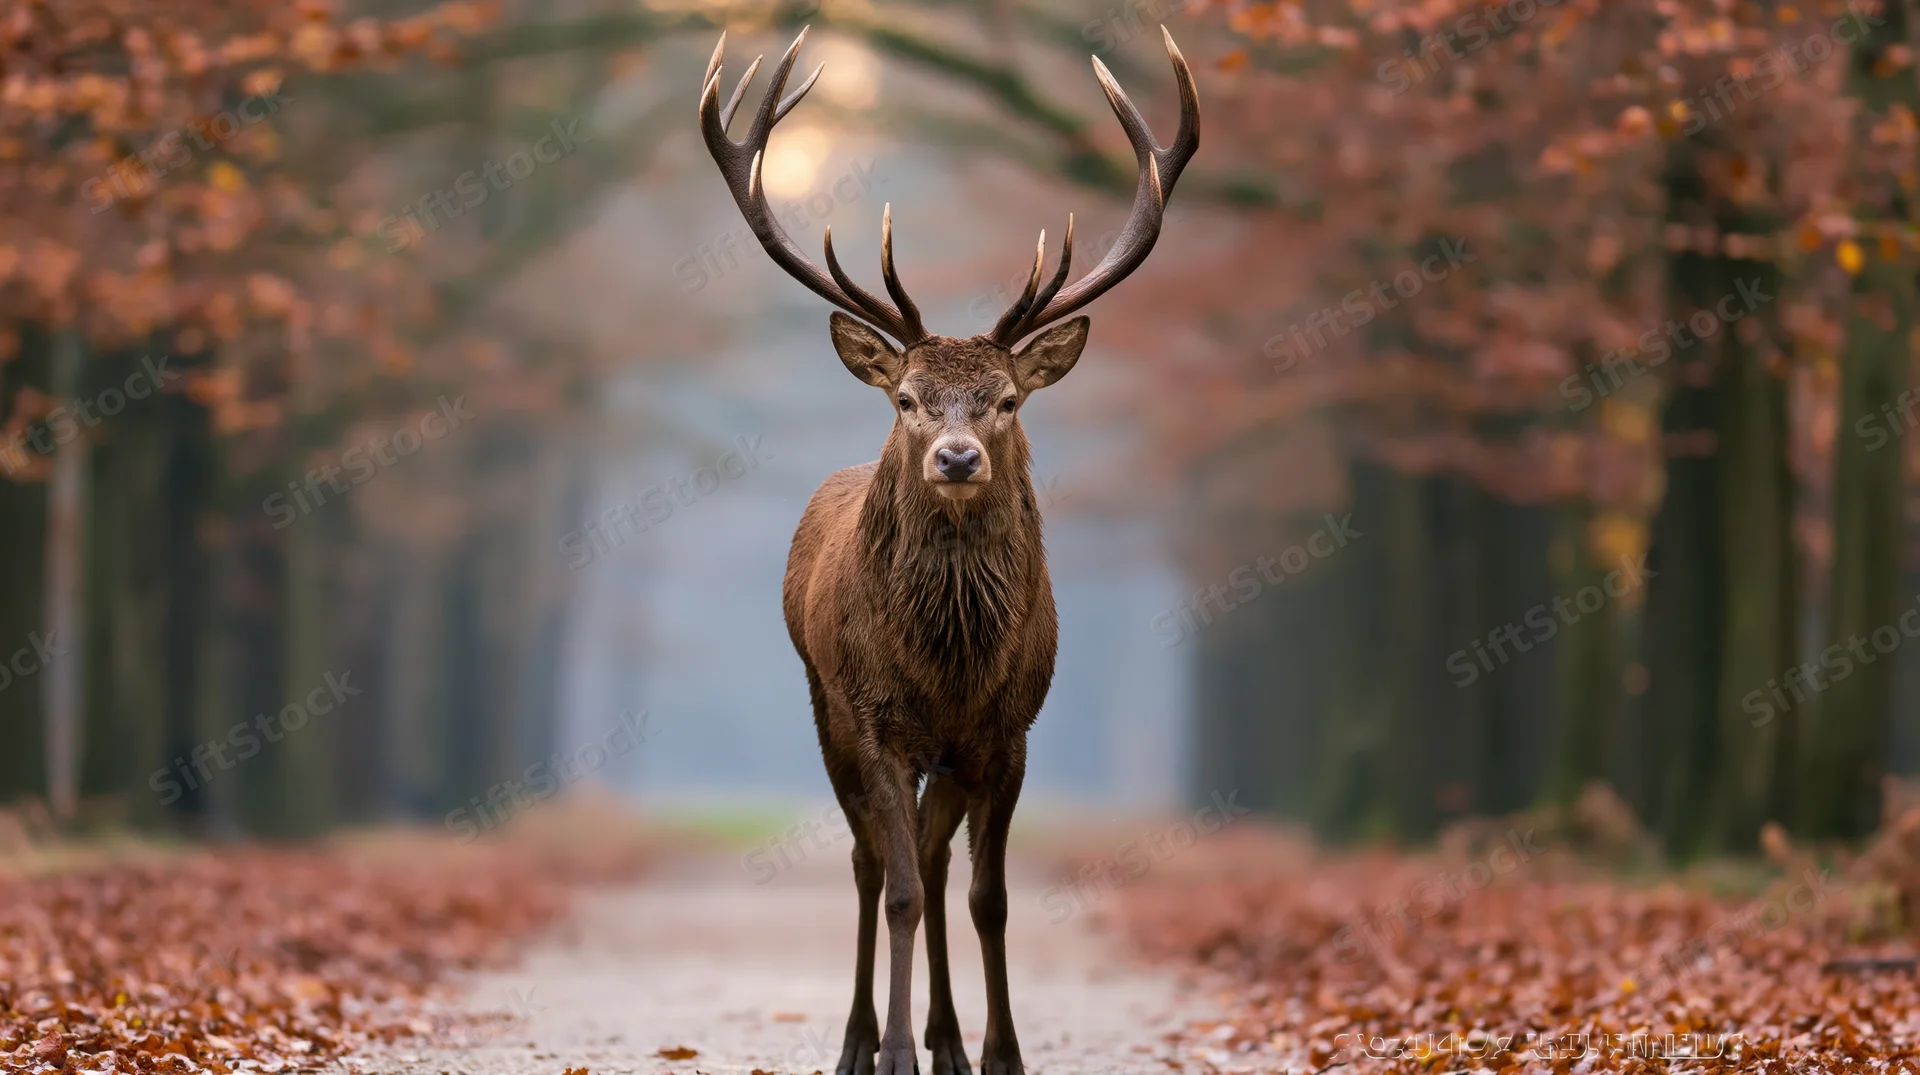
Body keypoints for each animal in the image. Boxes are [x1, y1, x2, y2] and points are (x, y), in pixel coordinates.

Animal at [699, 24, 1198, 1075]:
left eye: (1006, 398)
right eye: (907, 398)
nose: (958, 455)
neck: (951, 662)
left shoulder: (1008, 731)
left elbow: (985, 896)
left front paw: (998, 1051)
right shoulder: (878, 719)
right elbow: (895, 889)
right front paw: (890, 1051)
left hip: (948, 755)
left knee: (929, 859)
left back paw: (948, 1040)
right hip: (826, 704)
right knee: (870, 863)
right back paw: (861, 1039)